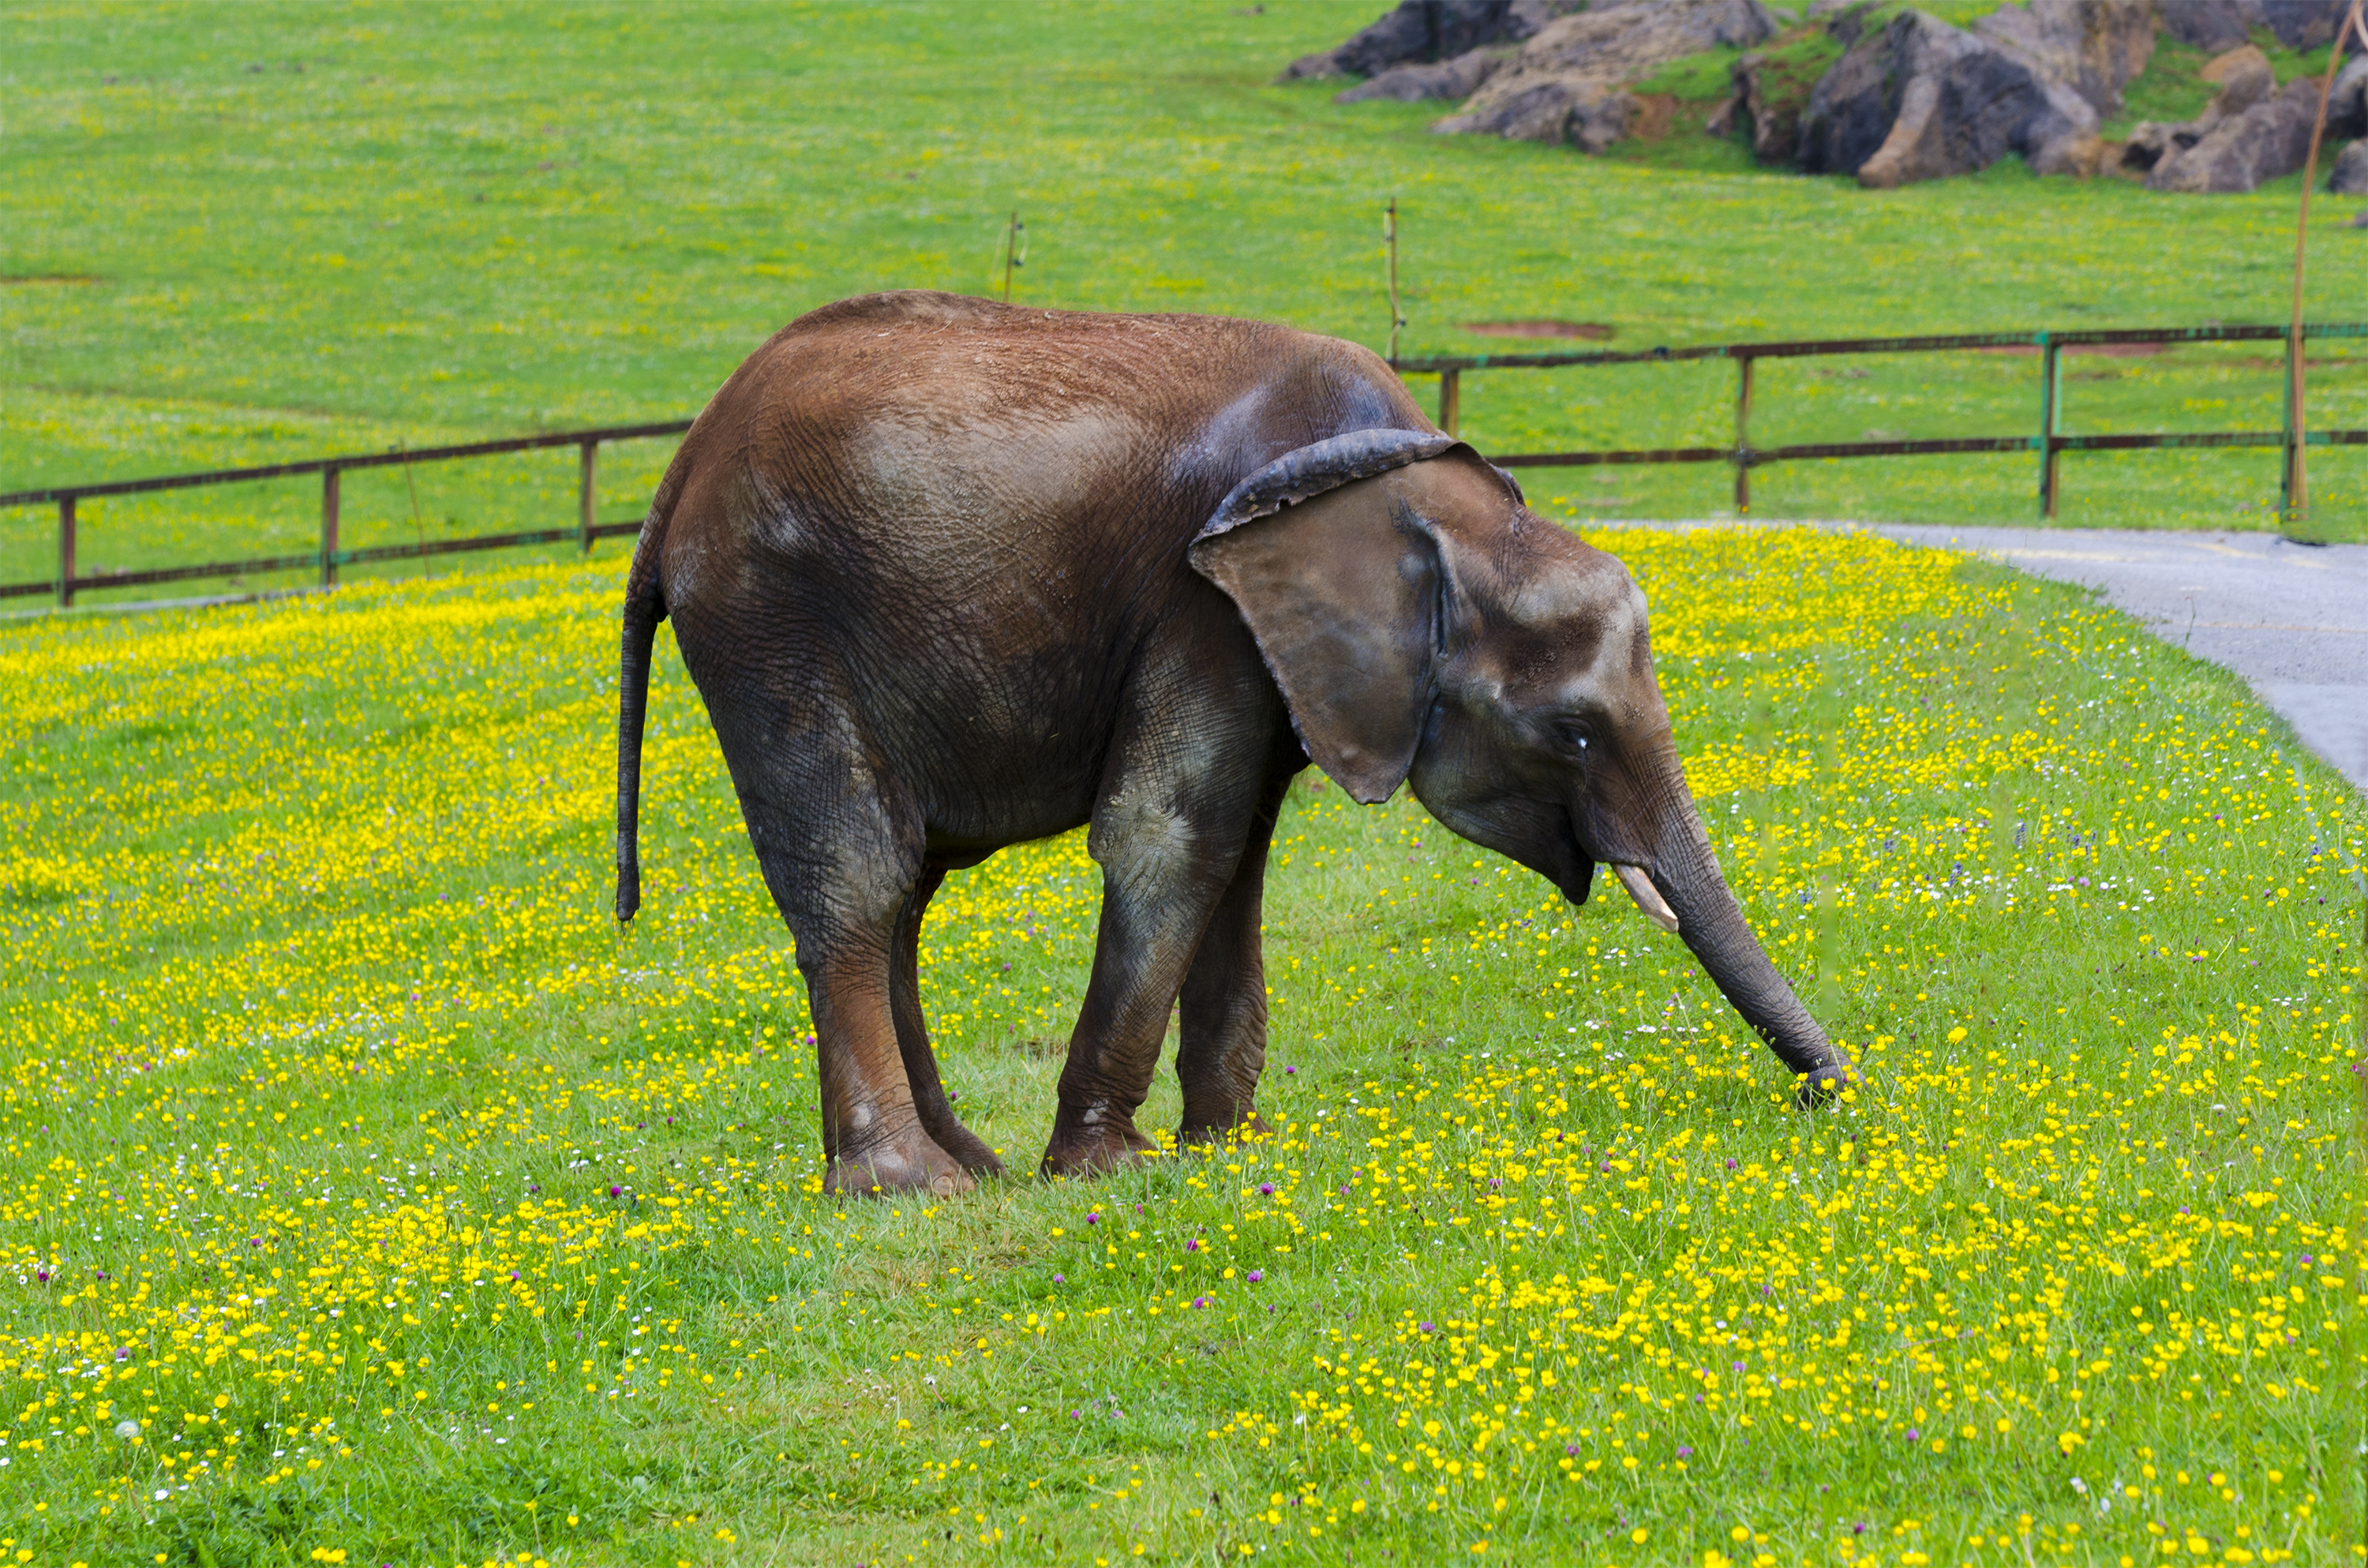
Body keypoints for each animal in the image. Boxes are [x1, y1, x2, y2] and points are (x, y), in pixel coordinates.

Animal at [614, 290, 1855, 1198]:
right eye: (1574, 730)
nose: (1820, 1096)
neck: (1416, 495)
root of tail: (682, 465)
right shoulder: (1197, 601)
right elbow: (1174, 835)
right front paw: (1113, 1171)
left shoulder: (1263, 646)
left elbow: (1238, 858)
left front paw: (1231, 1149)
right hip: (771, 620)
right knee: (860, 873)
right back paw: (910, 1187)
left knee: (906, 887)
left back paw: (968, 1165)